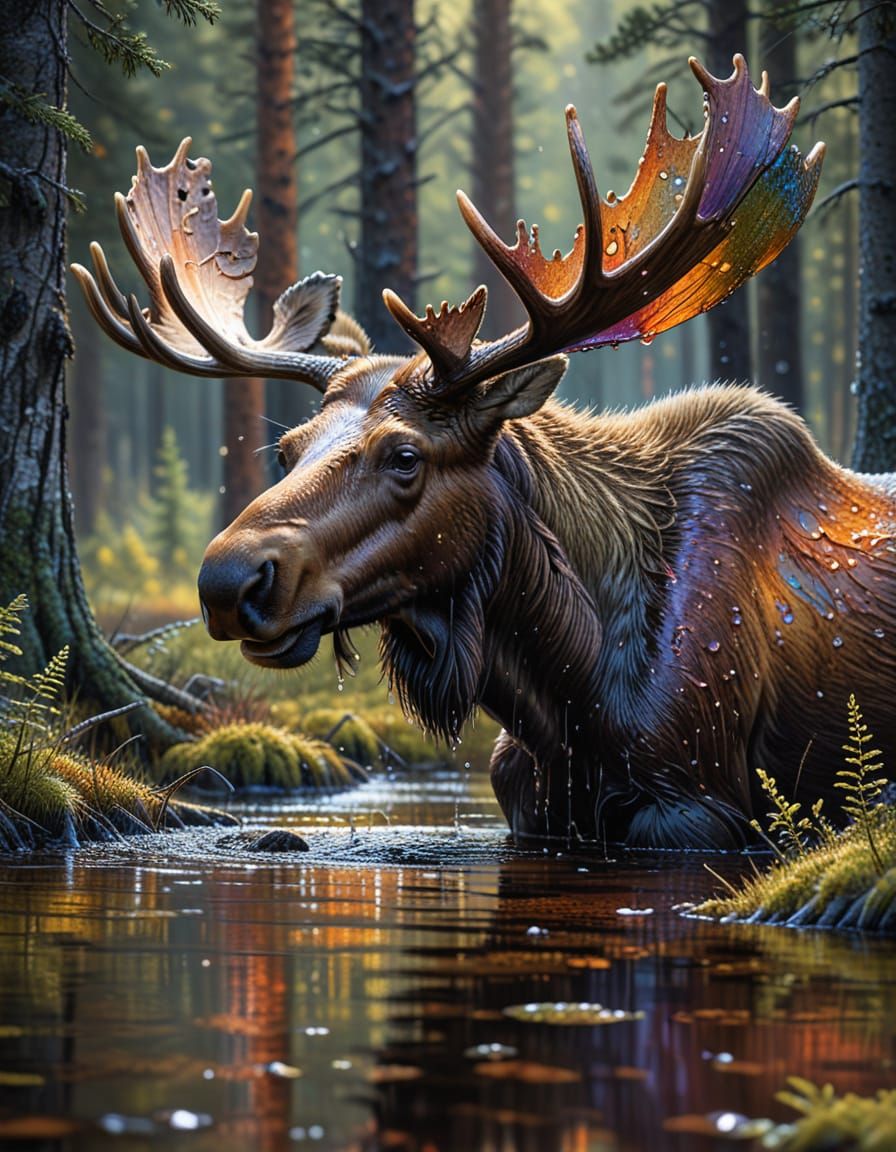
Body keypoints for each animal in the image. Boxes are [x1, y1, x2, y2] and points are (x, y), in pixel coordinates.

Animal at [73, 56, 896, 850]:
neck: (571, 689)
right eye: (285, 449)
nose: (227, 580)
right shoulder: (526, 802)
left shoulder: (697, 806)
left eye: (406, 456)